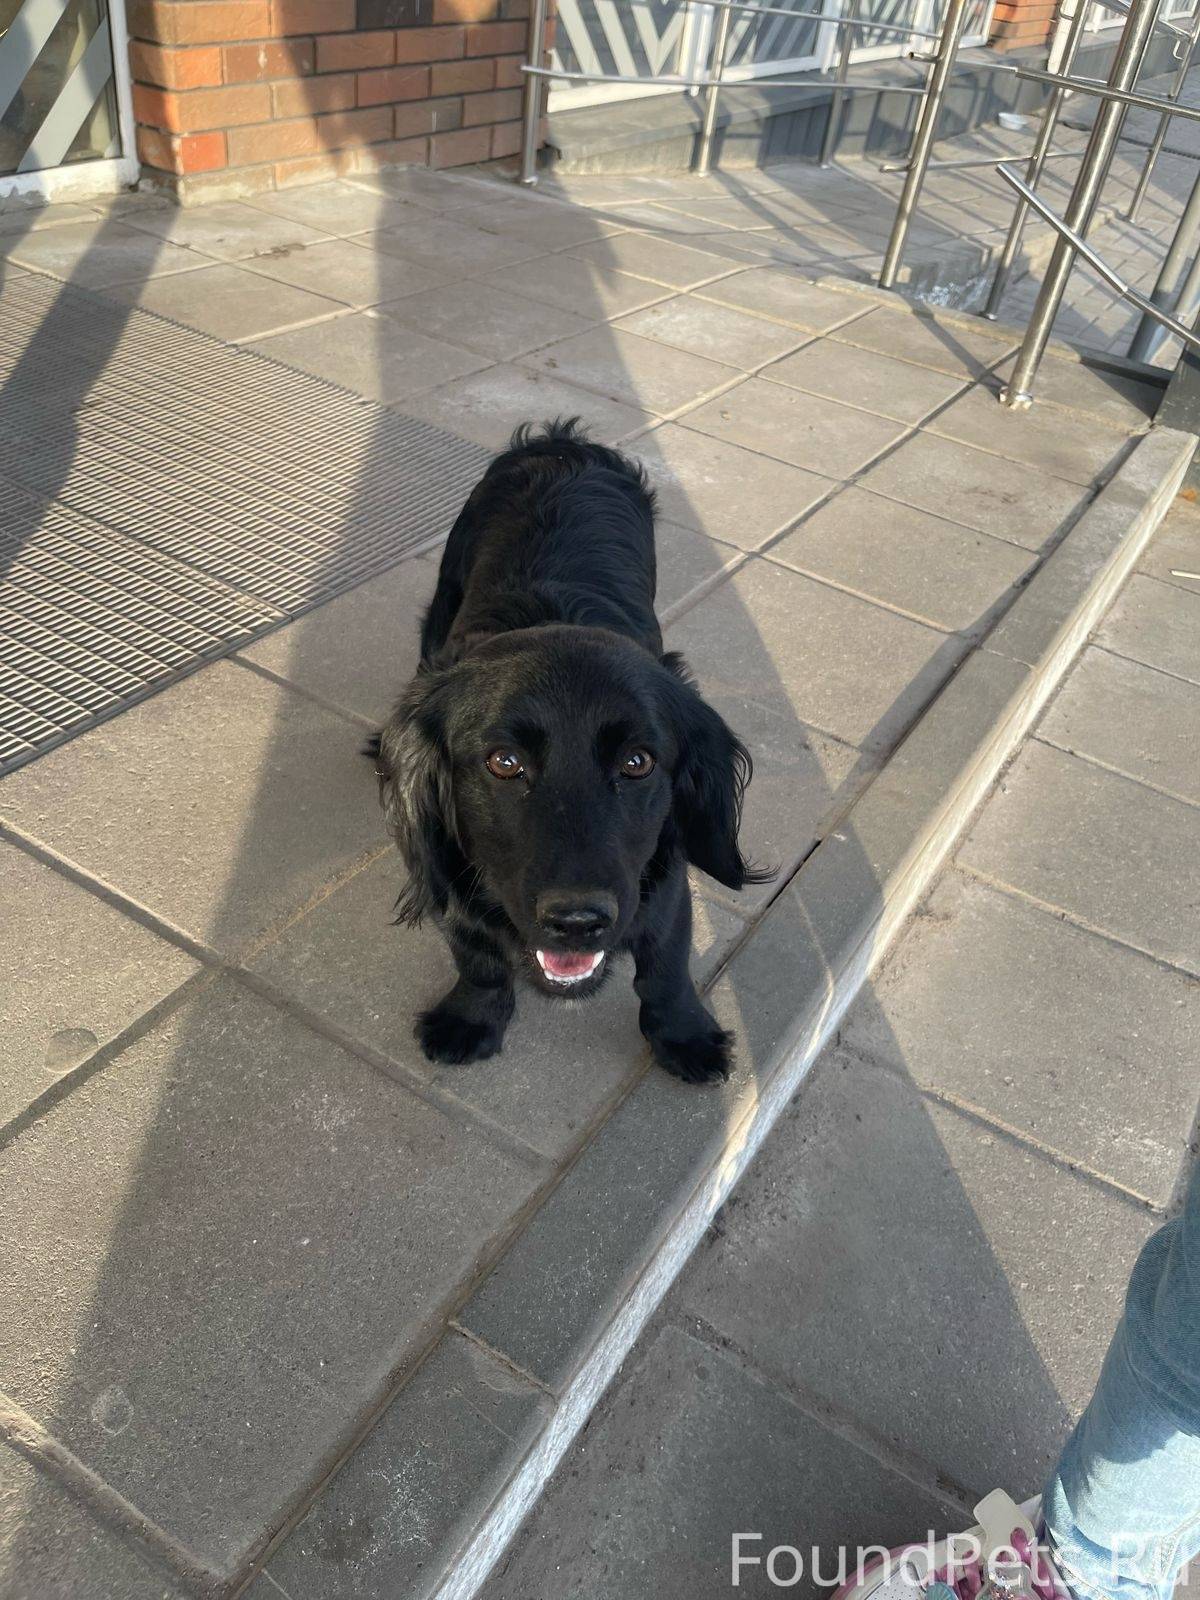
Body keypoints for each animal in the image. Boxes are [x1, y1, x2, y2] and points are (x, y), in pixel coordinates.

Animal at [373, 419, 767, 1085]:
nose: (578, 921)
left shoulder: (659, 881)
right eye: (504, 763)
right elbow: (477, 954)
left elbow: (666, 968)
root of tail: (561, 442)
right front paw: (471, 1019)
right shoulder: (456, 871)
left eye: (637, 762)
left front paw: (685, 1036)